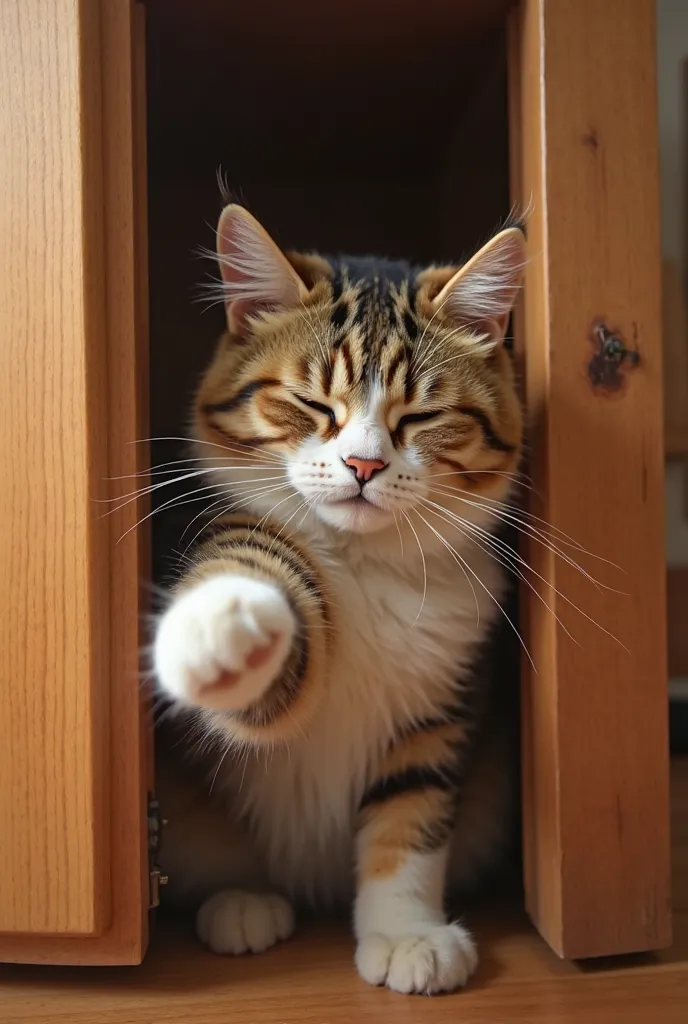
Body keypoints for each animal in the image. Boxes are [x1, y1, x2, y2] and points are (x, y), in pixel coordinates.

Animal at [153, 203, 524, 995]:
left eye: (420, 418)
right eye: (311, 403)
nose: (363, 464)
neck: (361, 565)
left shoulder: (437, 712)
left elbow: (408, 825)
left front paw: (406, 934)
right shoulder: (238, 537)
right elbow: (254, 595)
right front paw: (218, 627)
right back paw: (243, 904)